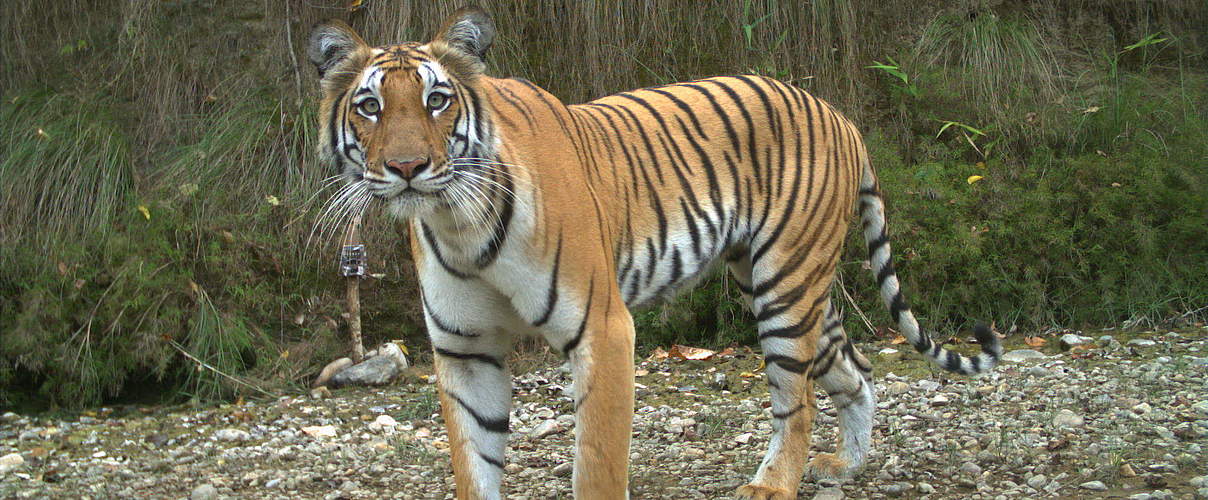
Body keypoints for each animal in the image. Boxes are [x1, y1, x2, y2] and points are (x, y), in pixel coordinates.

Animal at [309, 4, 1000, 500]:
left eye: (437, 100)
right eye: (370, 105)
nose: (406, 168)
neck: (457, 220)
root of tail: (839, 114)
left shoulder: (603, 328)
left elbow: (597, 465)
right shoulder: (464, 350)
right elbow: (474, 463)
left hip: (785, 287)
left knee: (796, 400)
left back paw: (772, 485)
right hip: (788, 286)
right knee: (854, 370)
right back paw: (846, 466)